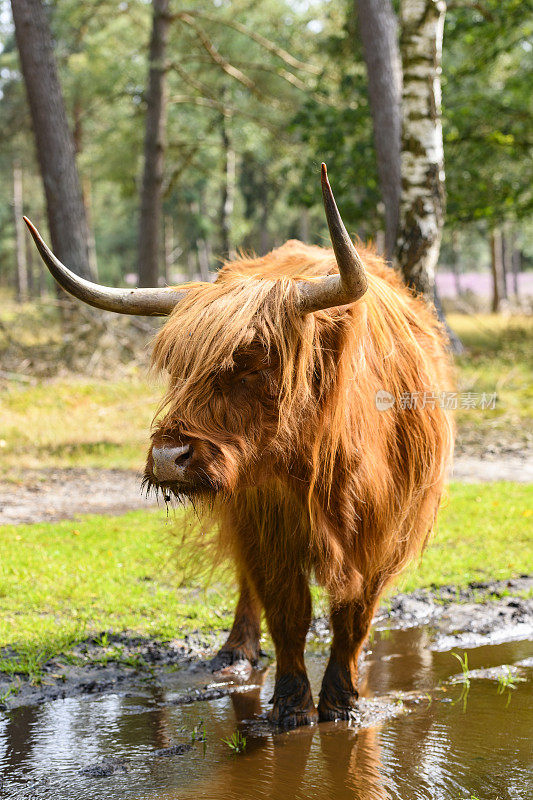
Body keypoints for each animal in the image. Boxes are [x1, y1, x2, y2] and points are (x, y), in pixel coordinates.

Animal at [22, 166, 450, 728]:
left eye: (256, 361)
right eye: (178, 365)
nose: (169, 458)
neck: (322, 471)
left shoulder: (382, 533)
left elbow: (352, 615)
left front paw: (342, 701)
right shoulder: (266, 523)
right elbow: (287, 610)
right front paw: (292, 705)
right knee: (250, 586)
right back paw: (236, 653)